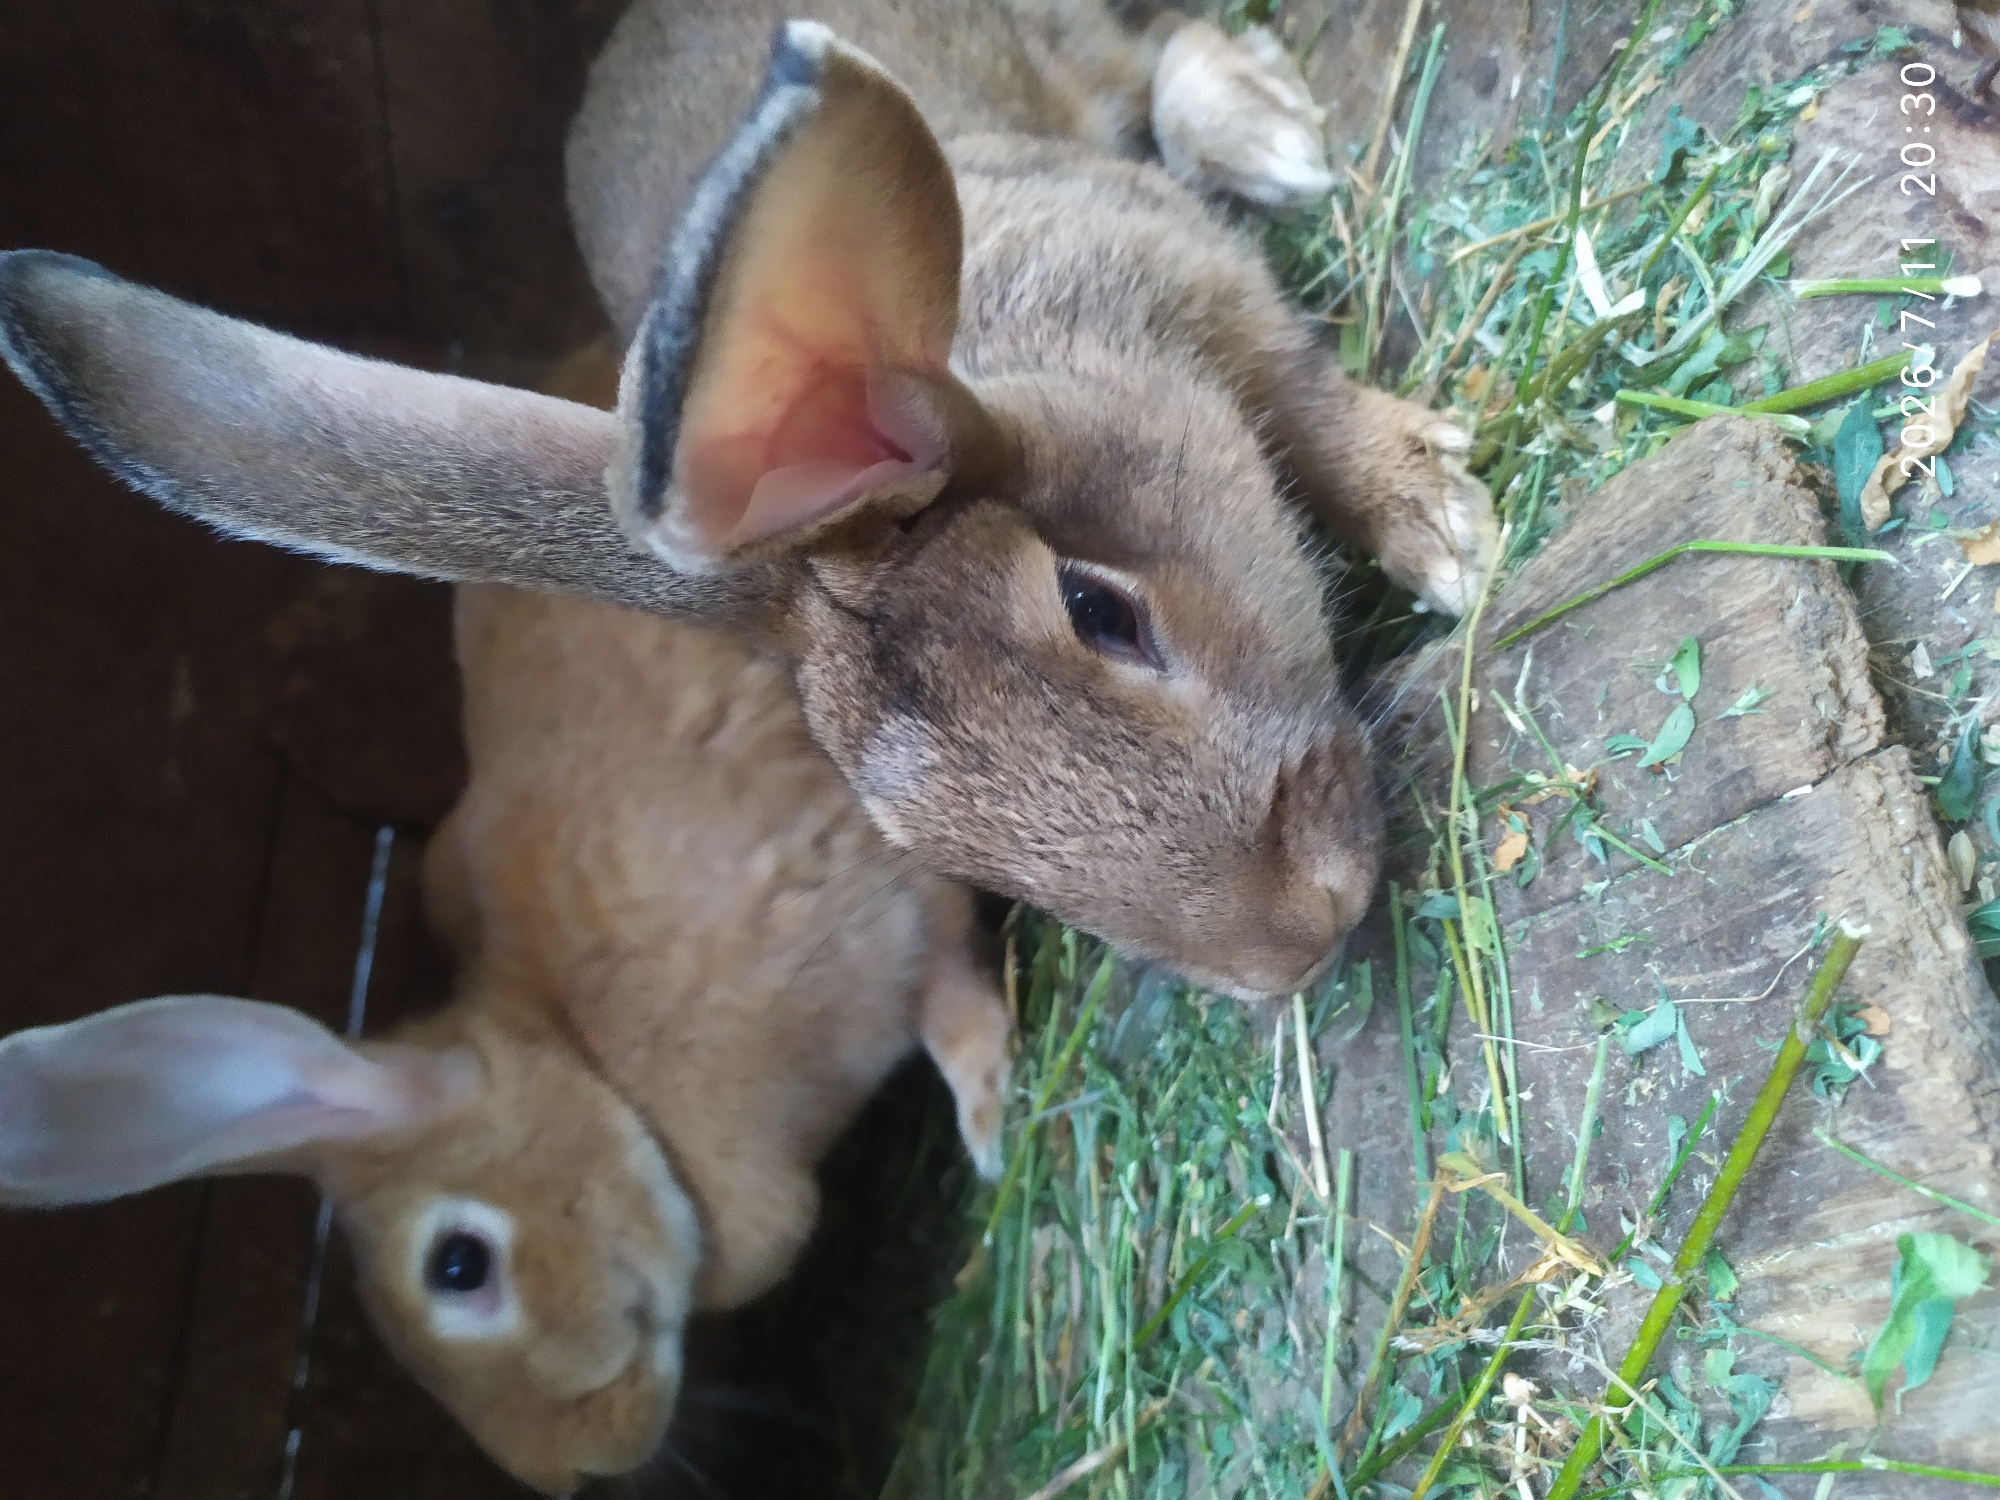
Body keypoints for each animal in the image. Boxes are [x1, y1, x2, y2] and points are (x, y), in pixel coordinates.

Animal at [0, 0, 1497, 1002]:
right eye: (922, 843)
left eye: (1100, 611)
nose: (1301, 939)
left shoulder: (1190, 280)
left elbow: (1305, 407)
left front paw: (1445, 536)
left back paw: (1263, 128)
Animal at [0, 394, 1016, 1493]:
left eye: (458, 1265)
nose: (574, 1469)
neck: (596, 1066)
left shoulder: (876, 872)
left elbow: (948, 974)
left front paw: (990, 1115)